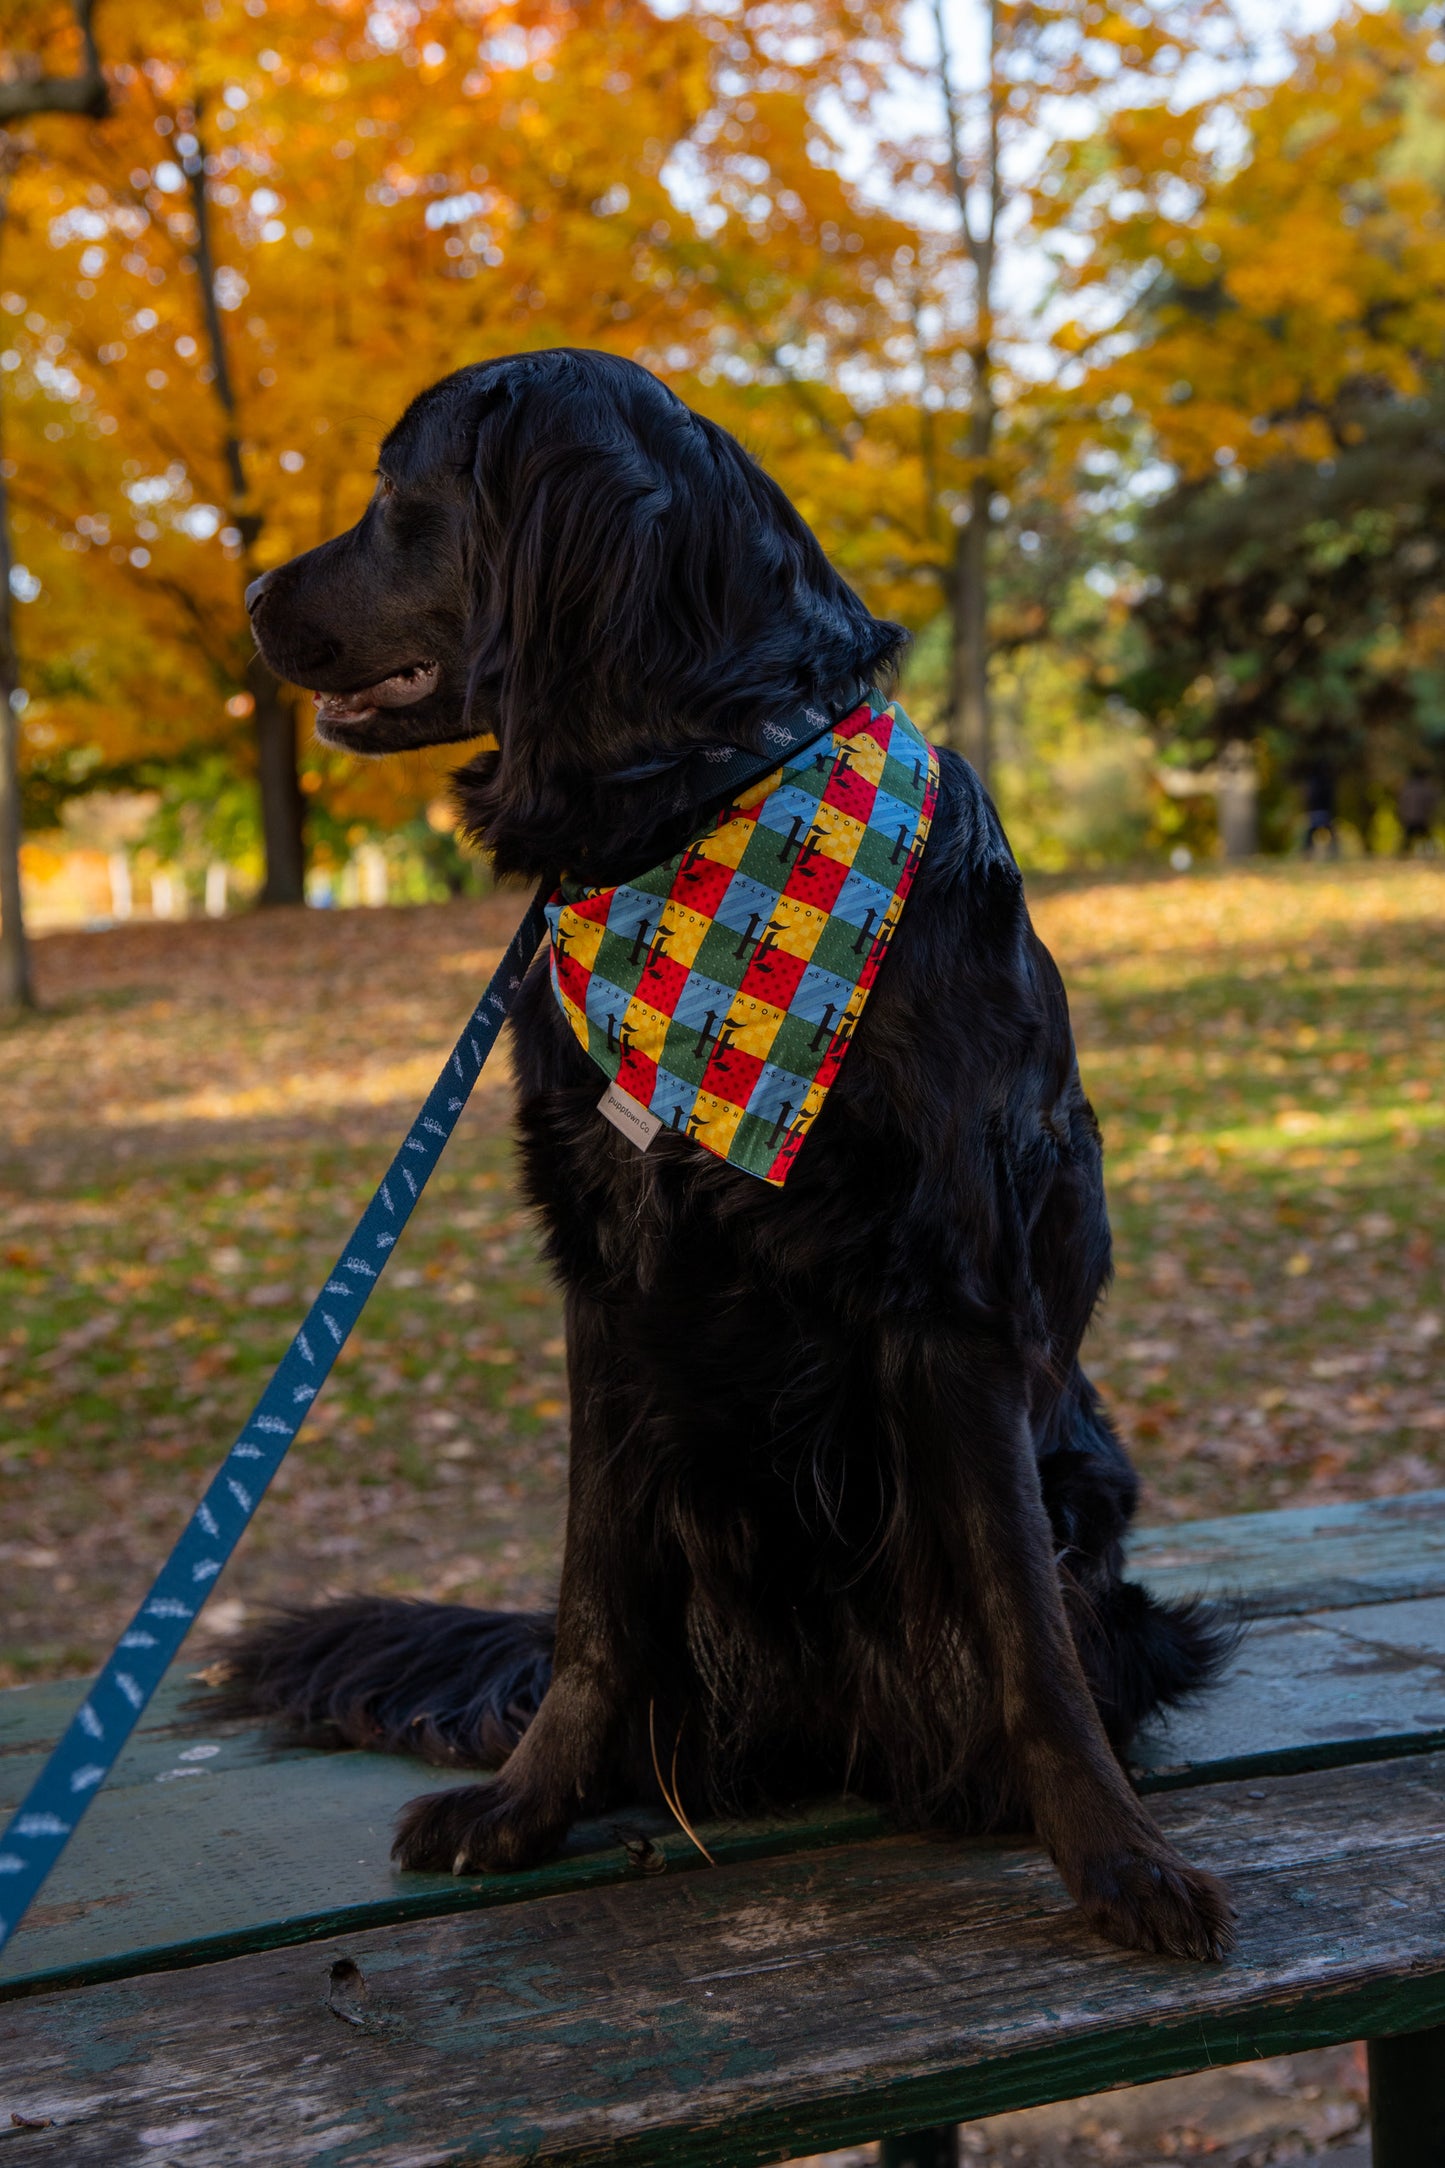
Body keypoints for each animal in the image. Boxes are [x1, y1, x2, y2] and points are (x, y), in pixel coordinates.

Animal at [235, 346, 1230, 1959]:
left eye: (397, 493)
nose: (255, 591)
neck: (703, 808)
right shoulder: (605, 1286)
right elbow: (592, 1611)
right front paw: (527, 1806)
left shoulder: (948, 1291)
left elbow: (1024, 1628)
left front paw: (1110, 1852)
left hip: (1084, 1481)